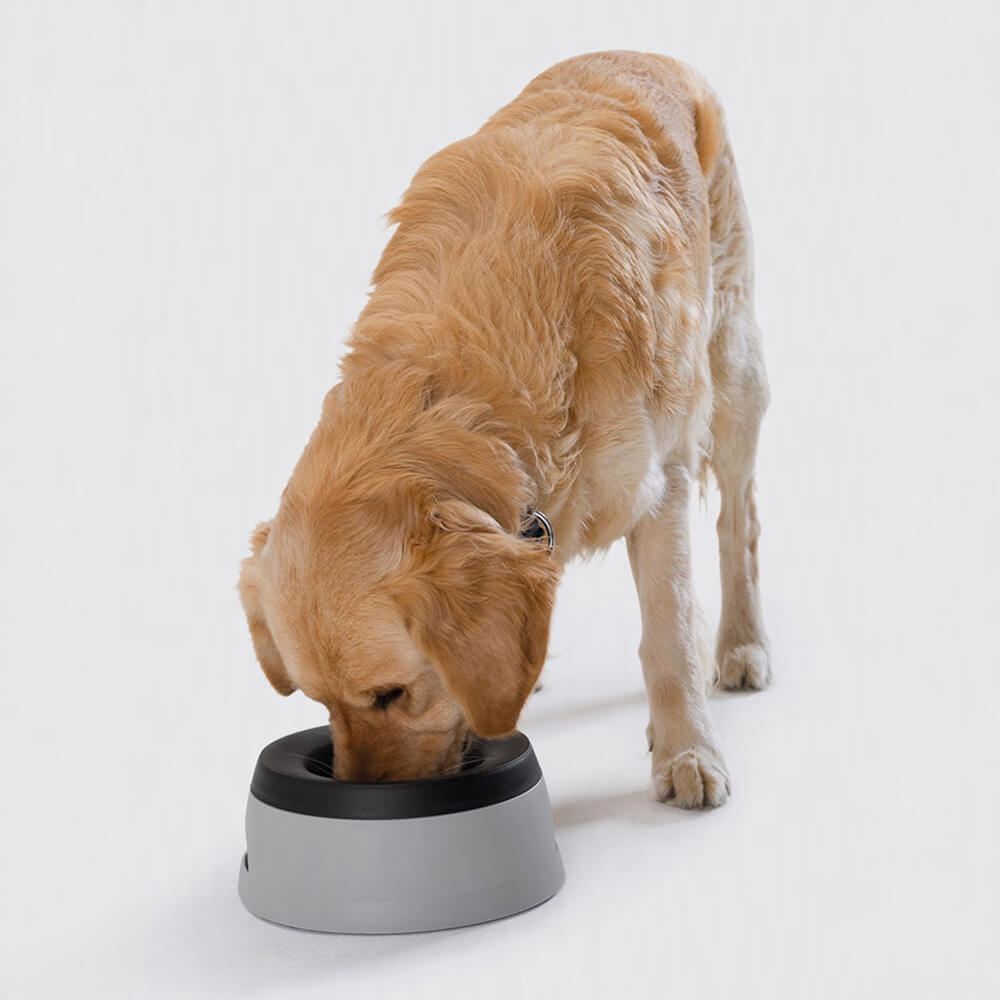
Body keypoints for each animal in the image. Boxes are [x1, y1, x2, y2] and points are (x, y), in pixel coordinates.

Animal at [238, 50, 768, 808]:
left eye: (392, 694)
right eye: (320, 703)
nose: (361, 800)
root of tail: (645, 54)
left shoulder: (659, 479)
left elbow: (666, 632)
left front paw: (687, 751)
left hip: (733, 367)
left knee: (738, 521)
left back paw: (742, 645)